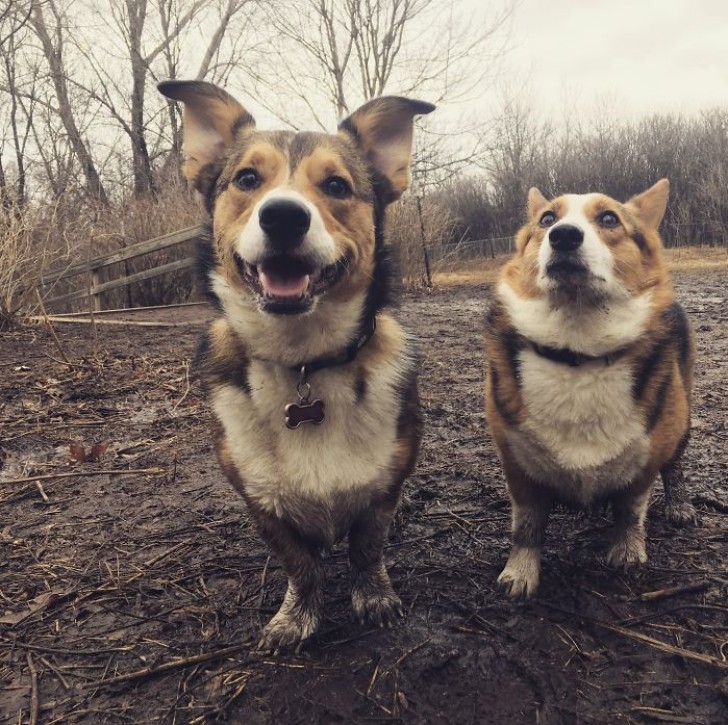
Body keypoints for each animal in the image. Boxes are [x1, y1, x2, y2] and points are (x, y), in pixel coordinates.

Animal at [158, 80, 432, 652]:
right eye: (246, 179)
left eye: (336, 185)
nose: (283, 215)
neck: (304, 361)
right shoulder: (261, 503)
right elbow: (300, 565)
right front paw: (297, 616)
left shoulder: (384, 488)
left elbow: (367, 549)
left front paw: (374, 597)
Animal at [486, 181, 696, 600]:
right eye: (547, 219)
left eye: (609, 219)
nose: (563, 235)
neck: (578, 350)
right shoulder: (516, 464)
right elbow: (527, 525)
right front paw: (520, 571)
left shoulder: (646, 459)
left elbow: (630, 510)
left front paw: (628, 551)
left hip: (681, 421)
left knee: (676, 465)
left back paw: (679, 504)